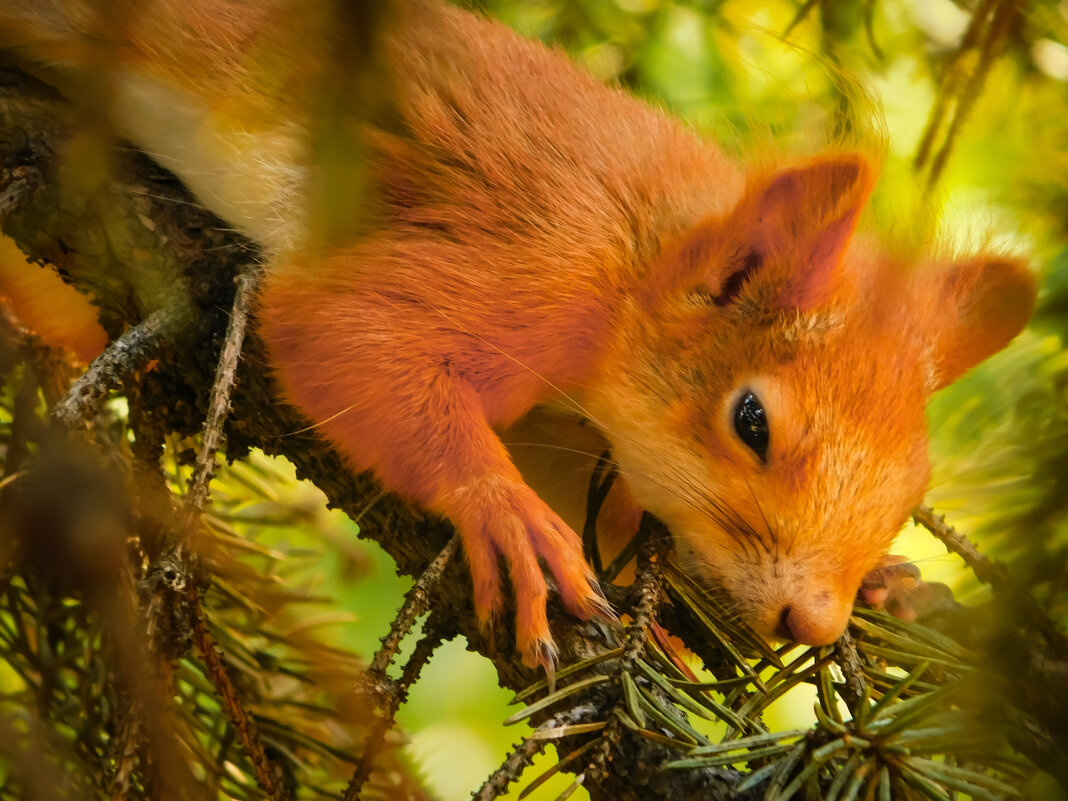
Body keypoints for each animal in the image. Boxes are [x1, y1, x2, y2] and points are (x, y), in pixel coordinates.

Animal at [0, 0, 1033, 666]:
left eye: (914, 487)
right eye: (751, 422)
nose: (813, 620)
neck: (637, 251)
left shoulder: (567, 426)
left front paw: (893, 584)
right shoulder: (533, 263)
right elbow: (340, 325)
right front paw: (503, 511)